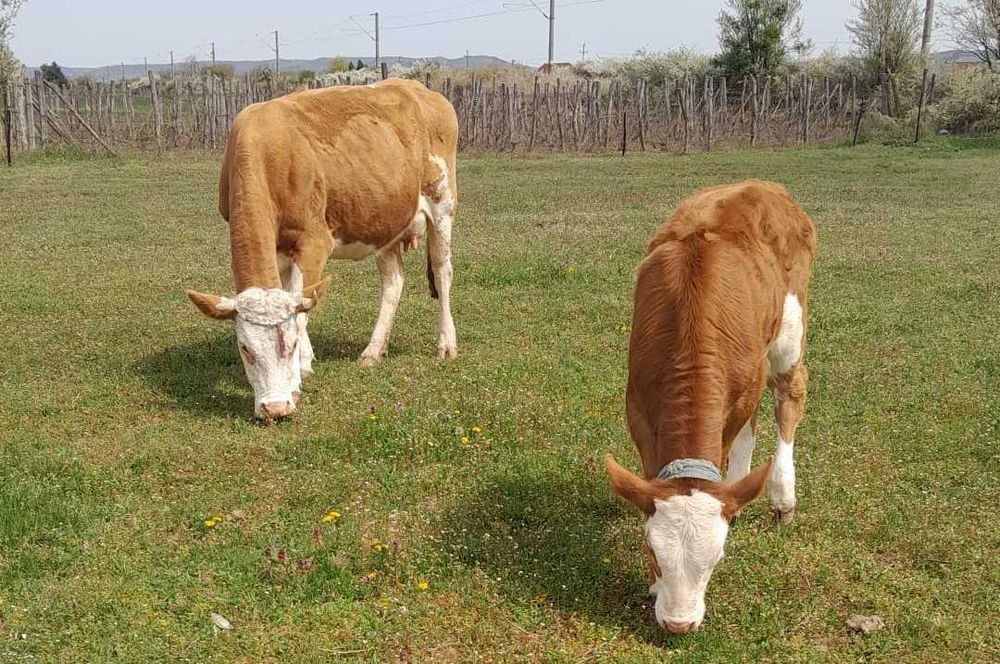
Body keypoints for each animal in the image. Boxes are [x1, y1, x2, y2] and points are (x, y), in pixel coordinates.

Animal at [186, 78, 459, 420]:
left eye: (288, 346)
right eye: (245, 349)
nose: (274, 408)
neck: (267, 150)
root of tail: (416, 86)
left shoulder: (314, 242)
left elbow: (302, 308)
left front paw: (299, 371)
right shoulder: (280, 248)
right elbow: (296, 297)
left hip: (442, 204)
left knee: (442, 271)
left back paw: (446, 344)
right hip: (385, 219)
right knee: (393, 282)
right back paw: (373, 351)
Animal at [604, 180, 816, 633]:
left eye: (717, 559)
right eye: (653, 552)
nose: (679, 624)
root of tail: (762, 185)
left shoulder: (735, 401)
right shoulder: (638, 406)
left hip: (790, 329)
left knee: (788, 396)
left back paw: (780, 496)